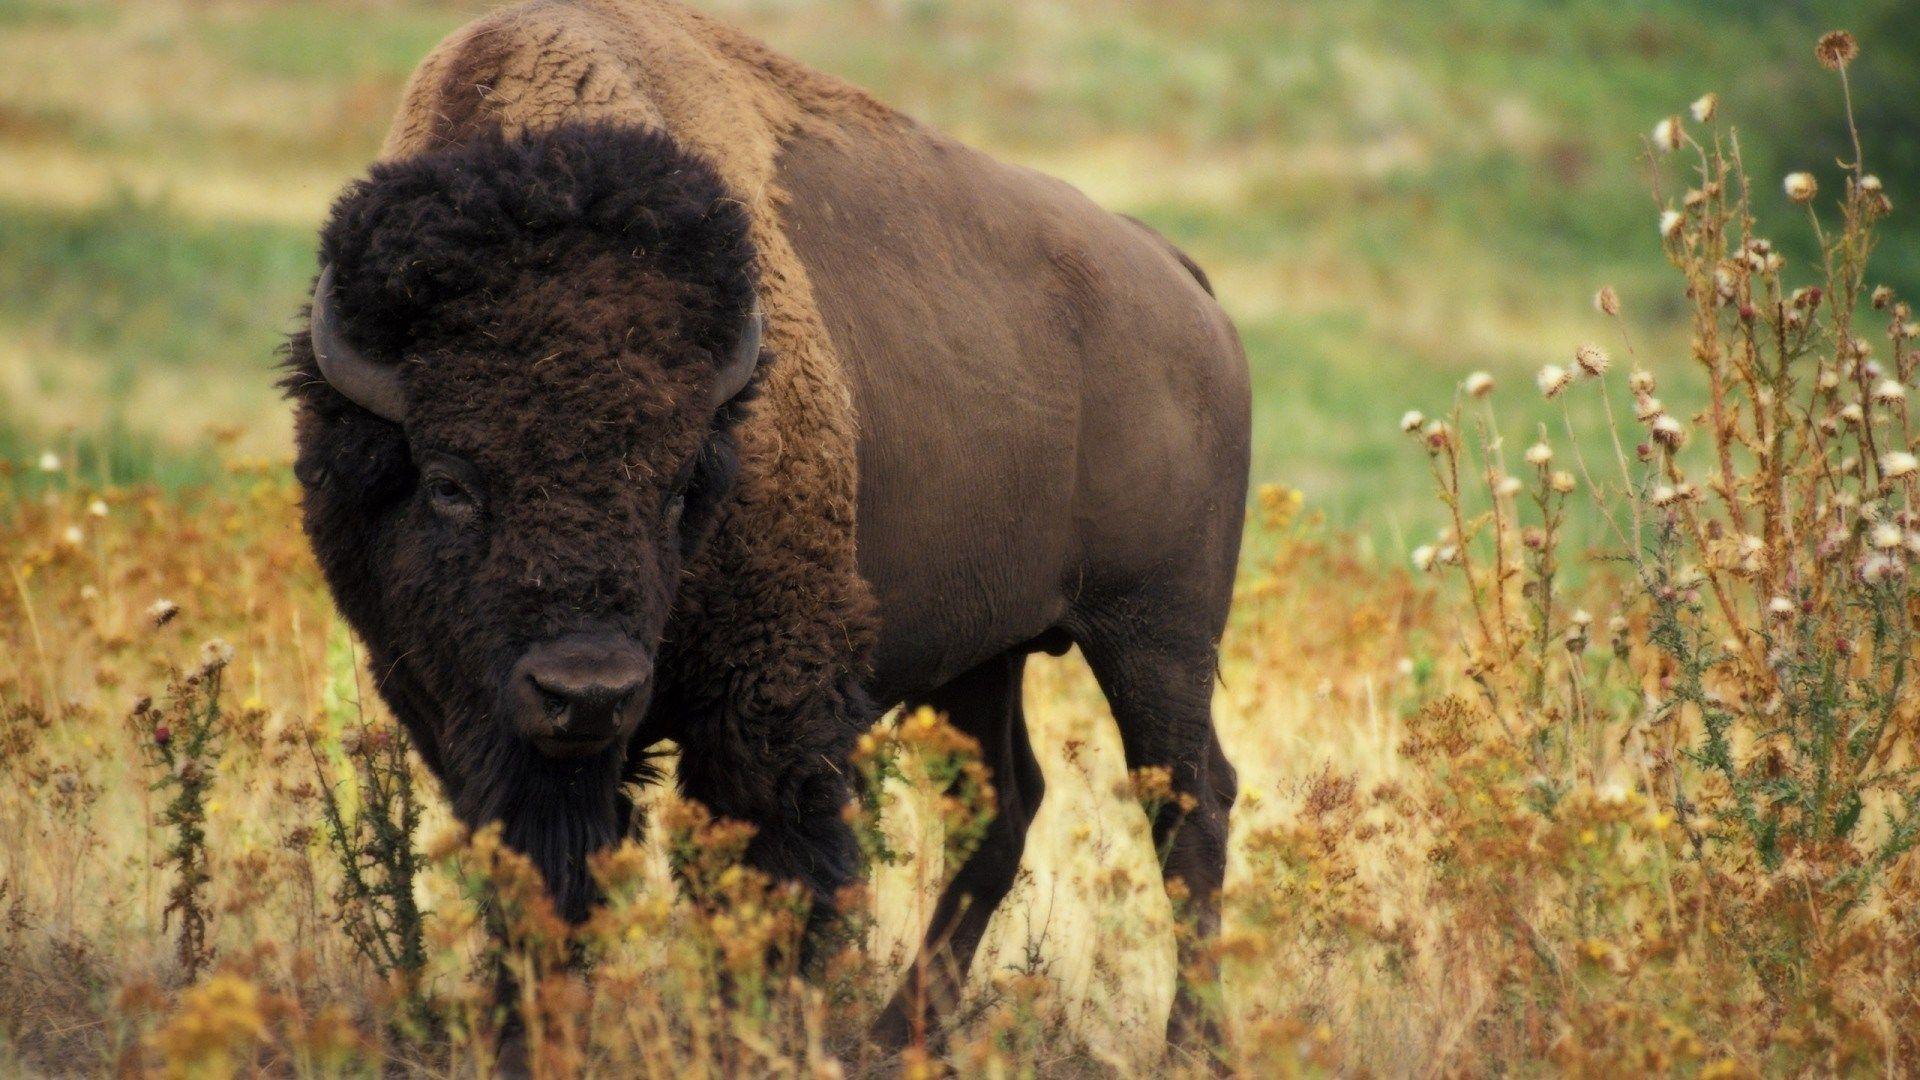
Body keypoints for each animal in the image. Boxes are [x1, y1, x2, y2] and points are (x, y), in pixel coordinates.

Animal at [280, 0, 1244, 1045]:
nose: (587, 692)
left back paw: (1187, 1045)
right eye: (450, 482)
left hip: (1157, 634)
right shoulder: (461, 711)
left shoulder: (769, 700)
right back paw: (899, 1038)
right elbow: (543, 878)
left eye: (677, 486)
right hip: (987, 652)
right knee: (1006, 803)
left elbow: (769, 876)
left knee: (1189, 803)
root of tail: (1179, 281)